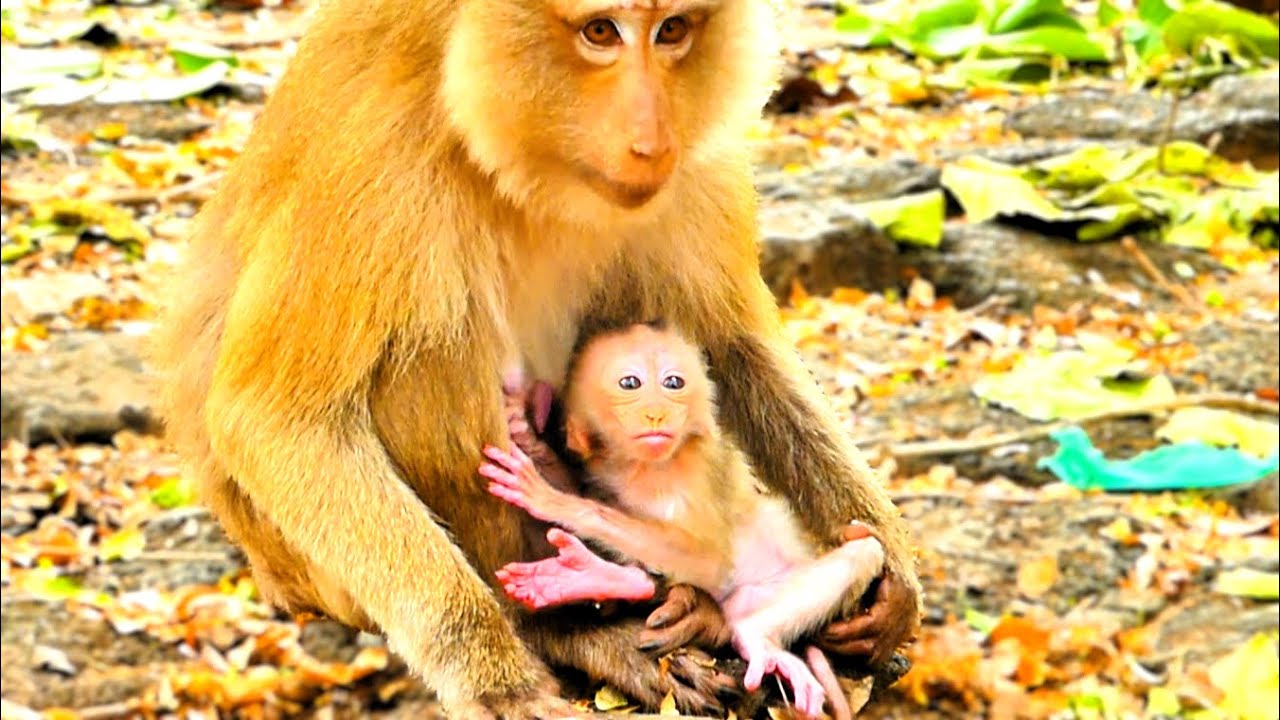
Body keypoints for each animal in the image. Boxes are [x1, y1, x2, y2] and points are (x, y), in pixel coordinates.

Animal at [481, 323, 885, 720]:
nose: (657, 413)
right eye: (631, 383)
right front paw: (530, 440)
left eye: (673, 383)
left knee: (863, 551)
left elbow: (709, 559)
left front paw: (556, 503)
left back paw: (752, 636)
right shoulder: (603, 467)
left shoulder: (697, 468)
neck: (647, 469)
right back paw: (602, 580)